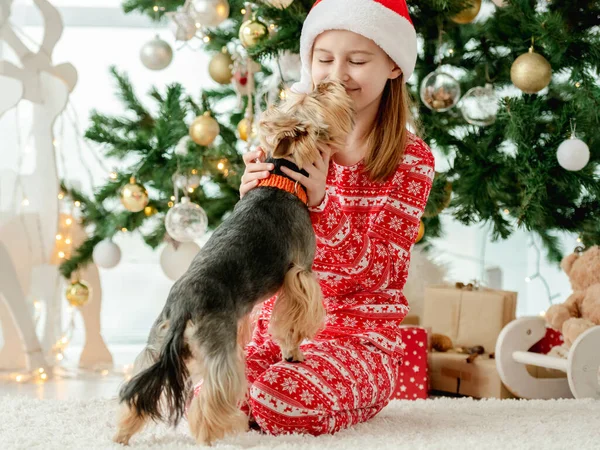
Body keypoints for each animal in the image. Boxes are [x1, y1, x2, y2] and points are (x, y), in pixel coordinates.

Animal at [112, 79, 354, 444]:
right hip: (219, 351)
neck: (283, 178)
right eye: (319, 99)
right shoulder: (300, 275)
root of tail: (183, 308)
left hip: (157, 342)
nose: (328, 82)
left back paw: (123, 434)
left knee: (139, 387)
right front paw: (293, 352)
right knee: (213, 396)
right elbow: (292, 321)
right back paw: (214, 435)